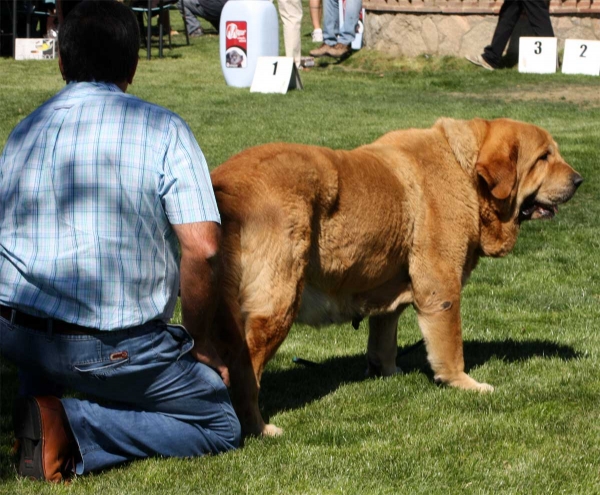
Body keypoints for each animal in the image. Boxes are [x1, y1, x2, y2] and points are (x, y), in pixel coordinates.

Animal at [210, 118, 580, 436]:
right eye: (544, 157)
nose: (579, 180)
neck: (466, 172)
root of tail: (226, 188)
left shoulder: (386, 292)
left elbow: (384, 340)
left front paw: (387, 373)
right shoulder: (441, 287)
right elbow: (451, 347)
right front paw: (463, 383)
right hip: (277, 307)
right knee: (246, 380)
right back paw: (260, 429)